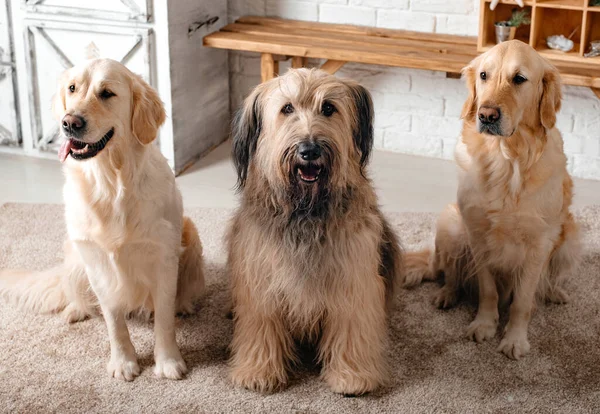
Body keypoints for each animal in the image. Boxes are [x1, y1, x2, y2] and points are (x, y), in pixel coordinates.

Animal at [0, 59, 205, 382]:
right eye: (72, 88)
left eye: (107, 93)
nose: (69, 123)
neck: (111, 181)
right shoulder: (97, 263)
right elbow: (114, 321)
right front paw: (124, 362)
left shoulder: (162, 258)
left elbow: (164, 318)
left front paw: (168, 361)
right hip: (74, 254)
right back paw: (75, 310)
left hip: (191, 235)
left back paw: (184, 305)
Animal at [225, 68, 404, 394]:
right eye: (287, 109)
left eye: (329, 108)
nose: (309, 150)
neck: (306, 211)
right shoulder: (261, 278)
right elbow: (261, 325)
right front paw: (259, 370)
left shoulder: (353, 278)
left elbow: (351, 325)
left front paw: (351, 375)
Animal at [406, 40, 580, 360]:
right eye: (484, 75)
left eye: (519, 78)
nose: (486, 115)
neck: (507, 159)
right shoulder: (477, 235)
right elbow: (487, 290)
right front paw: (484, 324)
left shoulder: (539, 244)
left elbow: (522, 301)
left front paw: (515, 339)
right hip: (450, 224)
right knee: (450, 274)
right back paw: (446, 295)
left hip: (571, 234)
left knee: (548, 280)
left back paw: (554, 292)